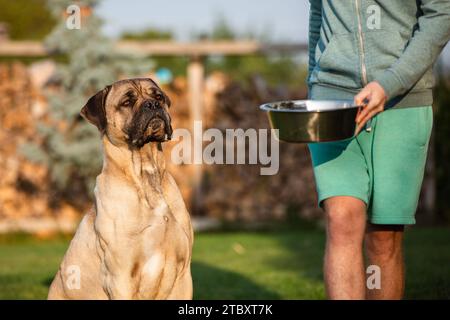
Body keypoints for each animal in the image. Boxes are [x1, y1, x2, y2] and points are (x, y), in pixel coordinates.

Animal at [48, 78, 193, 300]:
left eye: (158, 96)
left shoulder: (183, 274)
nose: (152, 105)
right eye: (127, 102)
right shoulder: (120, 276)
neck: (145, 174)